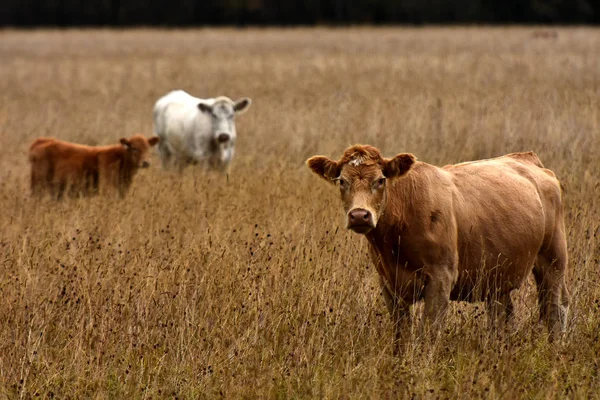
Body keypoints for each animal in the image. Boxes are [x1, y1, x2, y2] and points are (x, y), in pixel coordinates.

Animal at [28, 134, 159, 198]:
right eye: (134, 148)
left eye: (148, 148)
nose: (146, 162)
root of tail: (42, 140)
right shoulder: (108, 189)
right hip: (39, 185)